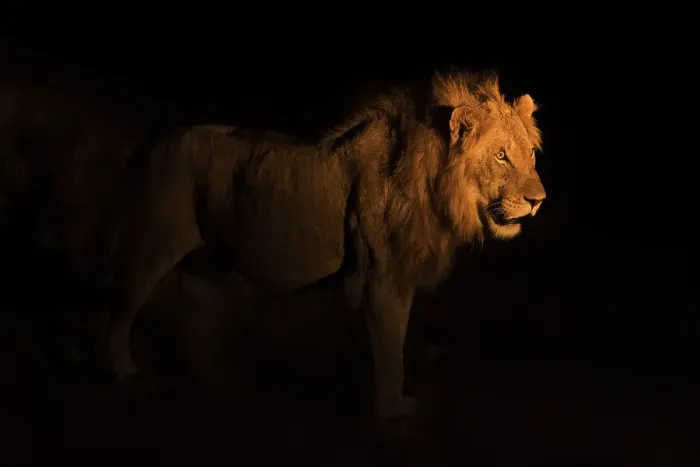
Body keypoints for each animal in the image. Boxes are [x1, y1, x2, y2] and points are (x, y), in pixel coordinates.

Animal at [2, 67, 546, 431]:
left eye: (529, 155)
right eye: (501, 155)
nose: (539, 200)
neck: (439, 186)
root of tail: (152, 140)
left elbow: (384, 344)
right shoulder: (384, 277)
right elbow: (392, 350)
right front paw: (392, 416)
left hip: (208, 261)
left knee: (194, 316)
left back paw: (219, 383)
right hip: (150, 243)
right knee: (118, 313)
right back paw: (126, 376)